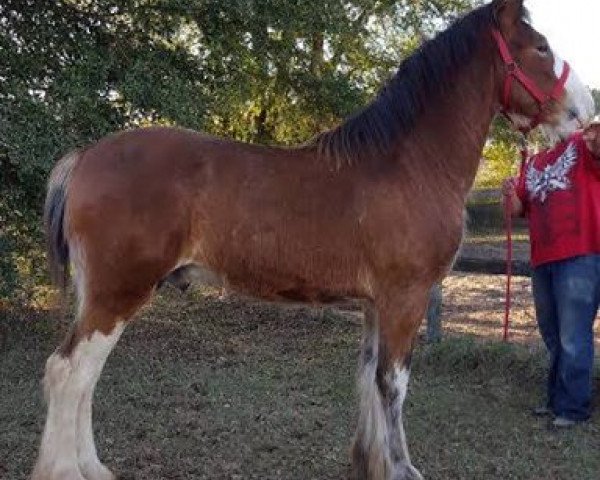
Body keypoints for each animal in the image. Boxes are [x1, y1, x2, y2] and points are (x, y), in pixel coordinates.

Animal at [30, 0, 592, 480]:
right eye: (540, 47)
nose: (586, 108)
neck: (409, 164)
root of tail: (85, 157)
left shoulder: (376, 304)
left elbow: (369, 380)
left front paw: (370, 464)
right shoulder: (405, 298)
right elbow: (394, 385)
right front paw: (403, 468)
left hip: (105, 296)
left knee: (82, 377)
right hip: (117, 293)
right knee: (69, 373)